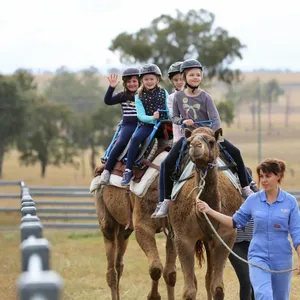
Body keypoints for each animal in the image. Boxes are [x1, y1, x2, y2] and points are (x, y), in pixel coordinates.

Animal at [95, 164, 177, 300]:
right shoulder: (143, 226)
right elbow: (156, 268)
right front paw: (153, 296)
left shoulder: (173, 231)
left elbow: (170, 273)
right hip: (107, 223)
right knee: (111, 271)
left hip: (125, 229)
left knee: (119, 264)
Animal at [169, 127, 244, 300]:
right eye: (189, 141)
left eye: (211, 141)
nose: (195, 145)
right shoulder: (183, 239)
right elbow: (189, 291)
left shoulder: (226, 237)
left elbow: (217, 288)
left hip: (210, 242)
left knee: (208, 278)